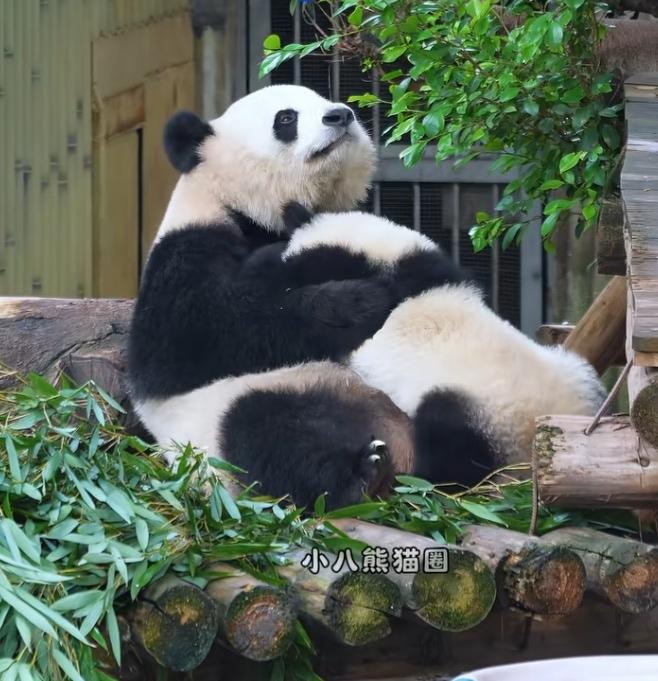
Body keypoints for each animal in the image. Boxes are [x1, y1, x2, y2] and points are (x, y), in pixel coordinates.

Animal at [128, 85, 416, 508]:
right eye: (286, 118)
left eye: (324, 99)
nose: (341, 115)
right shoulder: (185, 253)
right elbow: (198, 336)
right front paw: (362, 300)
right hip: (237, 412)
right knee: (267, 436)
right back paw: (361, 474)